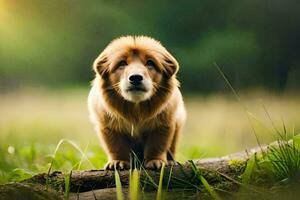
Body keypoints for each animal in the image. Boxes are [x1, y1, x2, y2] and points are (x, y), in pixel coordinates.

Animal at [87, 35, 185, 169]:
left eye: (150, 63)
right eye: (122, 63)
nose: (136, 78)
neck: (136, 109)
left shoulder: (164, 123)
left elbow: (157, 145)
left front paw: (155, 161)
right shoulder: (107, 126)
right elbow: (116, 146)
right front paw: (118, 162)